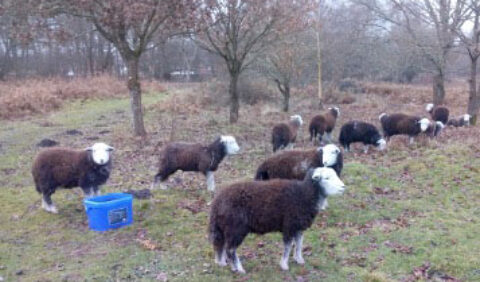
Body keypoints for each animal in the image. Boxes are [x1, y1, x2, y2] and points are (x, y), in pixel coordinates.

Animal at [208, 167, 344, 274]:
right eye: (326, 178)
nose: (343, 187)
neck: (304, 195)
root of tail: (216, 202)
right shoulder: (289, 225)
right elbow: (288, 246)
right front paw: (284, 265)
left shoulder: (298, 226)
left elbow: (299, 244)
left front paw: (299, 260)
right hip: (236, 227)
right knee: (230, 249)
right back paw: (238, 269)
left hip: (224, 227)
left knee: (221, 245)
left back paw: (223, 263)